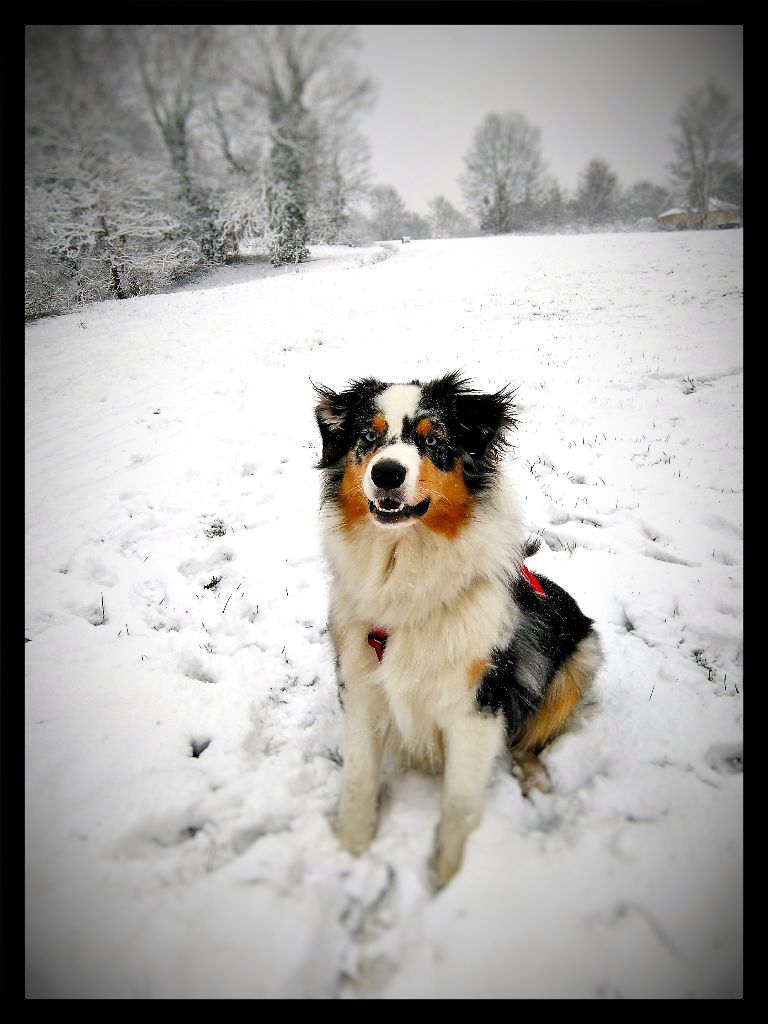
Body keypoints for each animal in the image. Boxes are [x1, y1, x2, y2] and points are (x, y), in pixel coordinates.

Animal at [315, 372, 606, 884]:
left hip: (580, 658)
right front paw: (350, 851)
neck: (406, 572)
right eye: (367, 437)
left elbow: (460, 801)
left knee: (531, 740)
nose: (386, 473)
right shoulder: (360, 680)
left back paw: (536, 778)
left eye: (433, 440)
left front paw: (451, 877)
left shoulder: (477, 702)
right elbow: (358, 778)